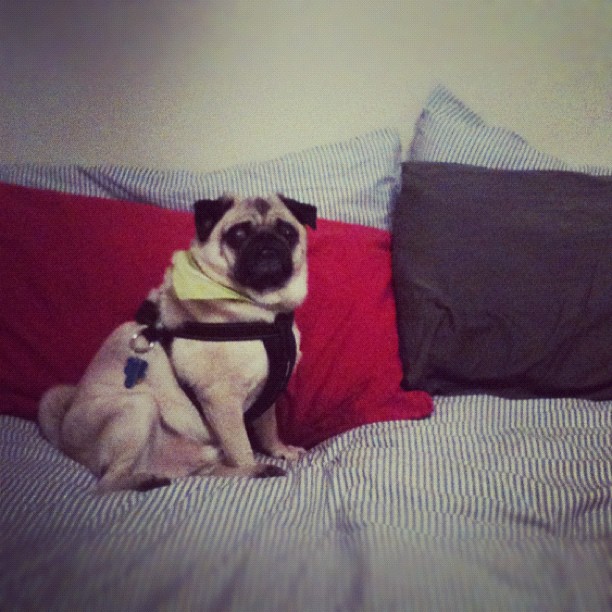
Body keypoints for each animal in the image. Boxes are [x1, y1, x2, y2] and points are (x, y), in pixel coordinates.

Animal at [39, 195, 316, 492]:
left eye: (287, 232)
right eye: (238, 235)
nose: (267, 243)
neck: (267, 313)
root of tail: (63, 436)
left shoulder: (267, 393)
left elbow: (268, 427)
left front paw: (279, 450)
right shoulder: (221, 400)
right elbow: (241, 448)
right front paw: (251, 466)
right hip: (138, 407)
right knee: (107, 481)